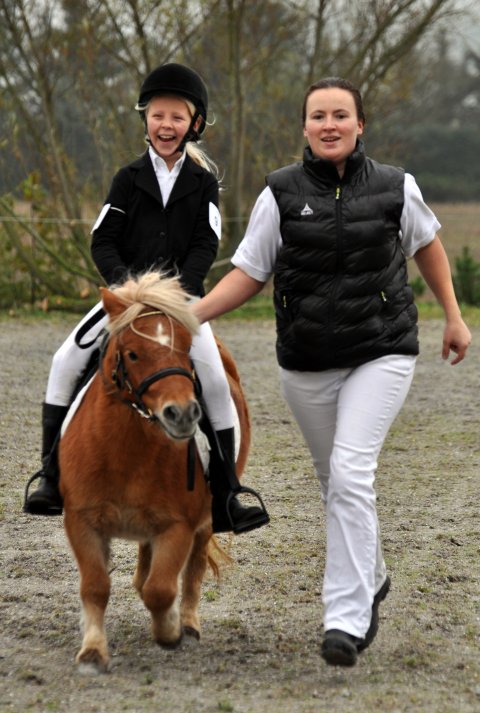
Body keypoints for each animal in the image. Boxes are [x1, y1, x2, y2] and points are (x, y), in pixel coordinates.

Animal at [58, 271, 250, 674]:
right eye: (132, 353)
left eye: (187, 350)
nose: (183, 414)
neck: (126, 451)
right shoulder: (81, 521)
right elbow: (95, 586)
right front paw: (93, 651)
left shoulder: (177, 526)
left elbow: (161, 589)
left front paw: (170, 632)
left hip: (207, 520)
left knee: (192, 572)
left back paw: (188, 624)